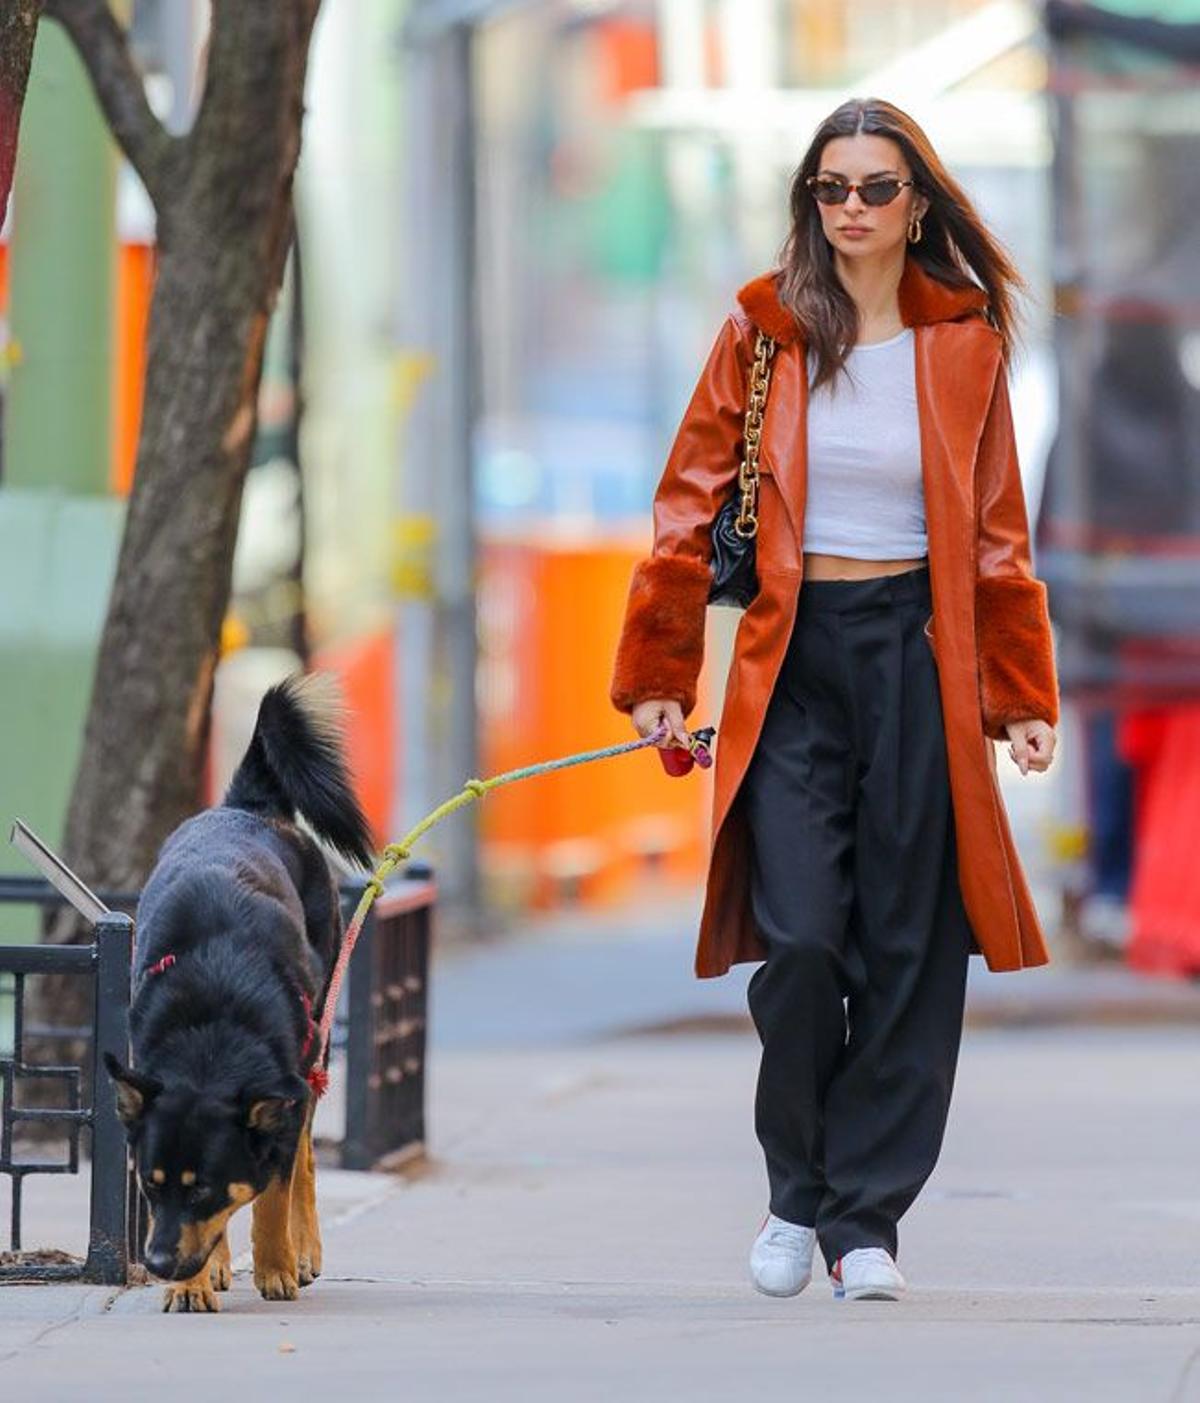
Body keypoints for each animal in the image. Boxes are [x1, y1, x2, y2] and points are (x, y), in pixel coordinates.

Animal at [107, 679, 370, 1313]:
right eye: (149, 1186)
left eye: (201, 1187)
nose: (156, 1265)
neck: (212, 1026)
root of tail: (247, 806)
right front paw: (193, 1283)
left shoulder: (285, 1099)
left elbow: (272, 1194)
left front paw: (276, 1267)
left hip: (318, 1047)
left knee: (304, 1162)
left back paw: (303, 1252)